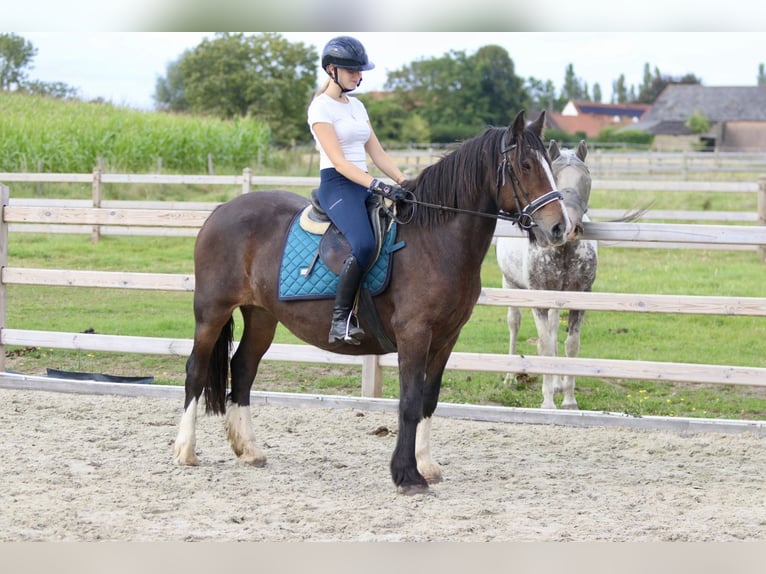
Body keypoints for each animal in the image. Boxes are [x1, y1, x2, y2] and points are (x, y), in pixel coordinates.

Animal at [172, 111, 568, 496]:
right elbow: (409, 403)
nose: (560, 228)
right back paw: (185, 451)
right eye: (525, 165)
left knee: (242, 369)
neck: (434, 241)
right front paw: (407, 476)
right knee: (196, 370)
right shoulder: (414, 334)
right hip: (212, 313)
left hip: (262, 316)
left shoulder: (446, 338)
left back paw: (249, 450)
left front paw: (426, 465)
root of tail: (221, 210)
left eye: (549, 163)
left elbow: (429, 398)